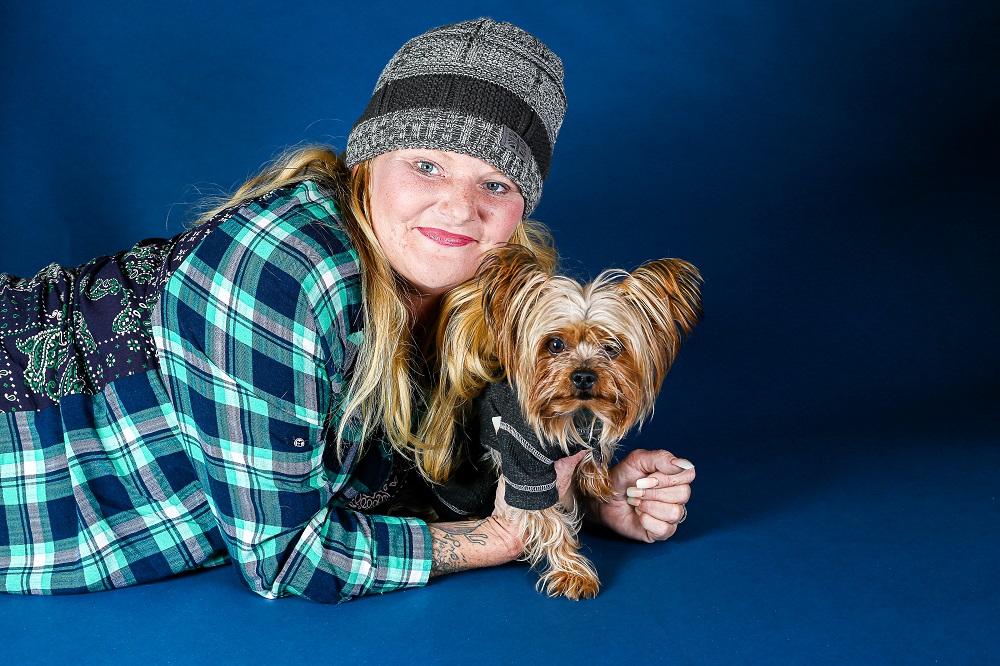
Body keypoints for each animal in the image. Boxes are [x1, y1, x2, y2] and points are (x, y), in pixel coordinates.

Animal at [430, 244, 704, 596]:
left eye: (612, 348)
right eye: (555, 344)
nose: (584, 375)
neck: (574, 413)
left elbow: (594, 449)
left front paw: (596, 478)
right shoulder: (522, 458)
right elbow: (548, 519)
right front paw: (573, 573)